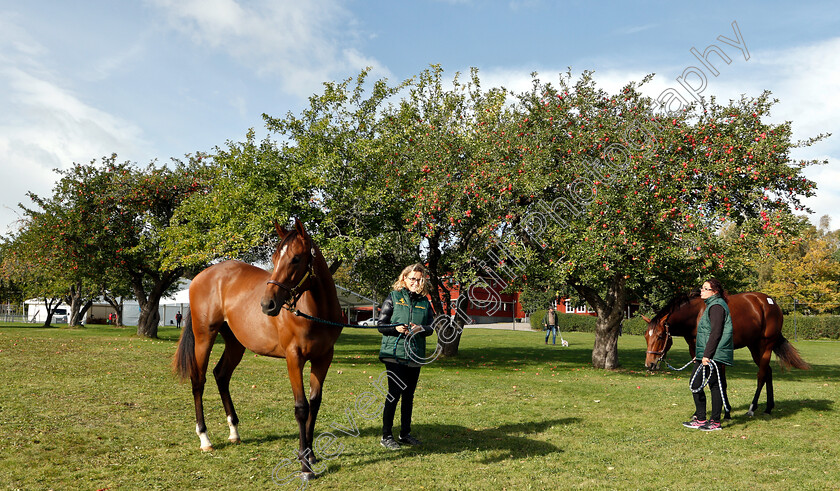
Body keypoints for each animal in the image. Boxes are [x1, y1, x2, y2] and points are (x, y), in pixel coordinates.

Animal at [172, 221, 342, 482]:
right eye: (274, 258)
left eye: (296, 258)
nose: (267, 304)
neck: (315, 312)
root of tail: (202, 276)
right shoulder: (294, 358)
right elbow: (301, 407)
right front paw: (305, 467)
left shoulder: (324, 358)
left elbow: (315, 403)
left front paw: (311, 455)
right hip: (204, 338)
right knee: (198, 381)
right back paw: (205, 439)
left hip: (235, 343)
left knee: (221, 375)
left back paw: (234, 431)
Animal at [644, 294, 808, 418]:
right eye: (646, 336)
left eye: (660, 336)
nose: (649, 364)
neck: (696, 315)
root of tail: (770, 302)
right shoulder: (697, 353)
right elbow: (702, 380)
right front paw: (700, 413)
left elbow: (721, 382)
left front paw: (726, 412)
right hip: (754, 347)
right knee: (768, 371)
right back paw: (768, 408)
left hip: (765, 346)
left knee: (761, 375)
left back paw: (752, 408)